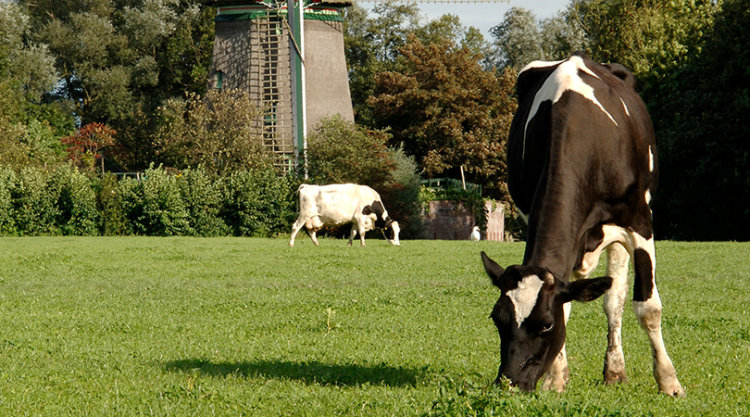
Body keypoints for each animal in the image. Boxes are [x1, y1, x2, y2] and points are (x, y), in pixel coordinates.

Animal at [482, 52, 688, 396]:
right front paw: (555, 379)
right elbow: (566, 303)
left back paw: (615, 370)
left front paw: (669, 381)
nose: (508, 384)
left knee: (614, 300)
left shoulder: (640, 221)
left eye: (546, 325)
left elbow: (648, 307)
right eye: (497, 319)